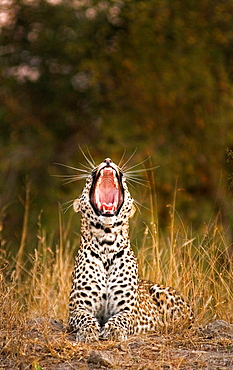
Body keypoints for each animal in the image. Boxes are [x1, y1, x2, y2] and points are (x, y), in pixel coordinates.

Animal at [68, 156, 194, 342]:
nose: (107, 160)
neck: (106, 243)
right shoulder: (77, 308)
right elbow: (85, 318)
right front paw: (88, 331)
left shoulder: (128, 310)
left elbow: (121, 319)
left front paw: (113, 331)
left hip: (163, 293)